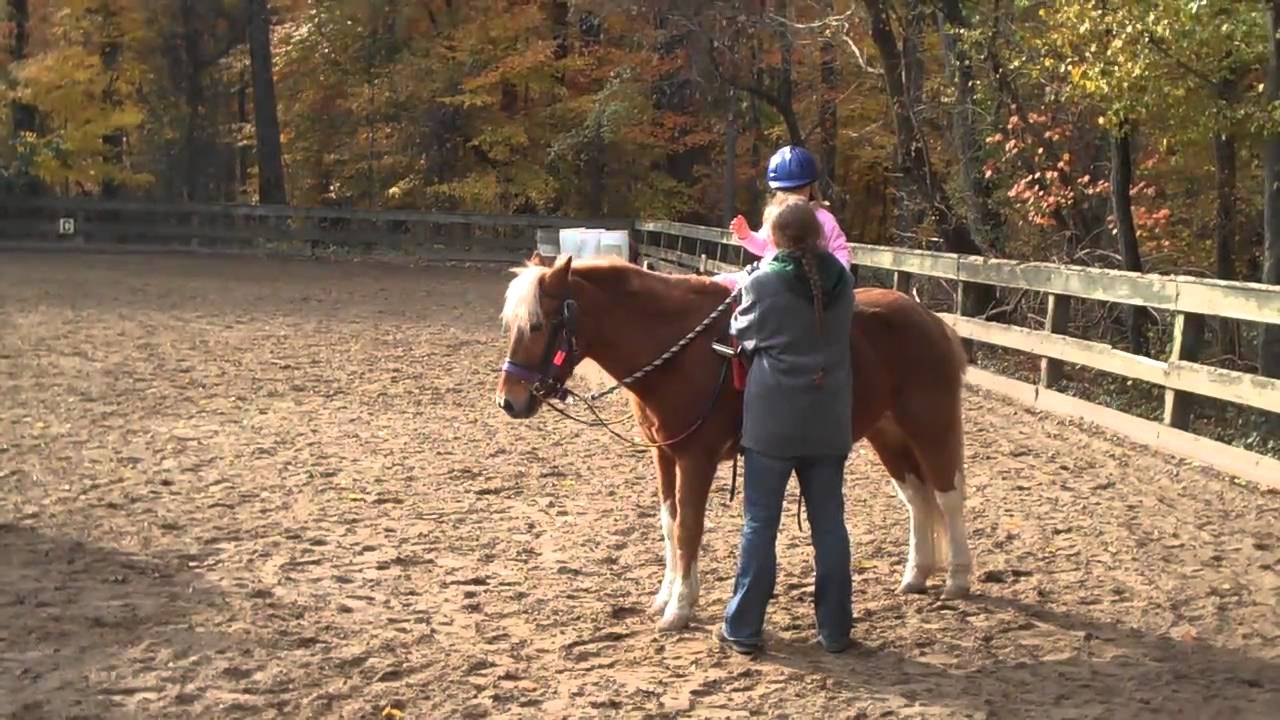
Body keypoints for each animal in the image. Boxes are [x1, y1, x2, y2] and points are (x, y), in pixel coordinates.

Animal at [495, 251, 972, 631]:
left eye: (537, 325)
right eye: (510, 326)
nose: (509, 401)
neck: (683, 354)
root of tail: (929, 319)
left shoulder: (696, 458)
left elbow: (688, 527)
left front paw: (680, 610)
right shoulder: (664, 456)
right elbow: (669, 523)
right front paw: (667, 597)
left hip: (930, 426)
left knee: (947, 497)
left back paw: (957, 579)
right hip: (886, 433)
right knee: (917, 499)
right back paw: (916, 575)